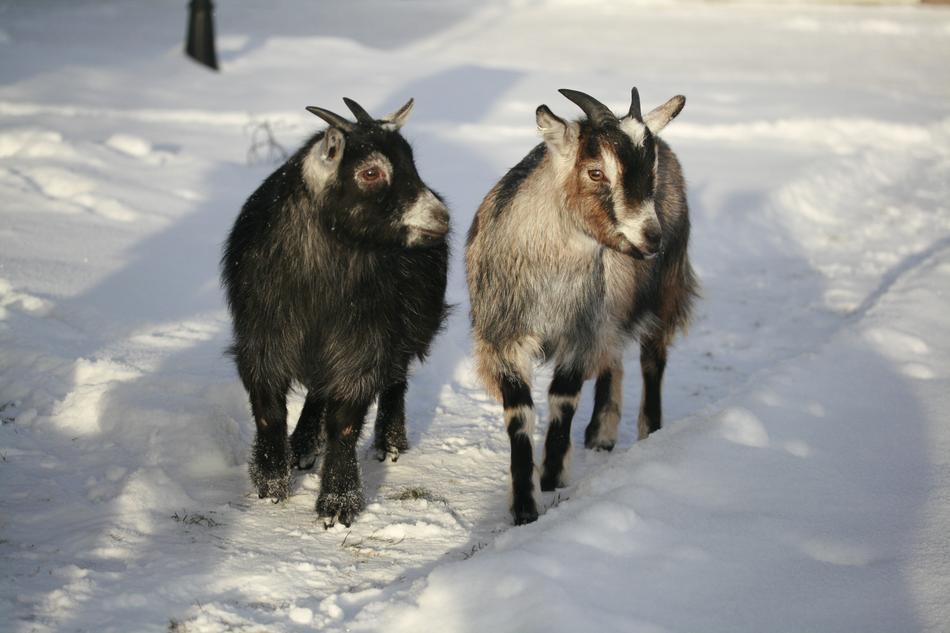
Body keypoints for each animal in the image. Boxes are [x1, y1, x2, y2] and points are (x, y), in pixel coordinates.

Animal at [222, 97, 449, 527]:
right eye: (371, 171)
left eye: (411, 162)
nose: (440, 217)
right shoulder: (262, 338)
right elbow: (269, 410)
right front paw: (271, 482)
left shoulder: (362, 344)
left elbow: (344, 423)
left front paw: (337, 504)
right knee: (317, 388)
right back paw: (302, 445)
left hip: (409, 326)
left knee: (395, 378)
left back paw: (388, 442)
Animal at [465, 88, 698, 524]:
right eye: (595, 172)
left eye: (651, 171)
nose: (651, 238)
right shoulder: (503, 338)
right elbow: (519, 413)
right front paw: (524, 506)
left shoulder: (581, 332)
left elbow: (563, 398)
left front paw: (552, 478)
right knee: (614, 359)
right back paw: (601, 433)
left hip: (665, 288)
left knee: (652, 357)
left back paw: (649, 431)